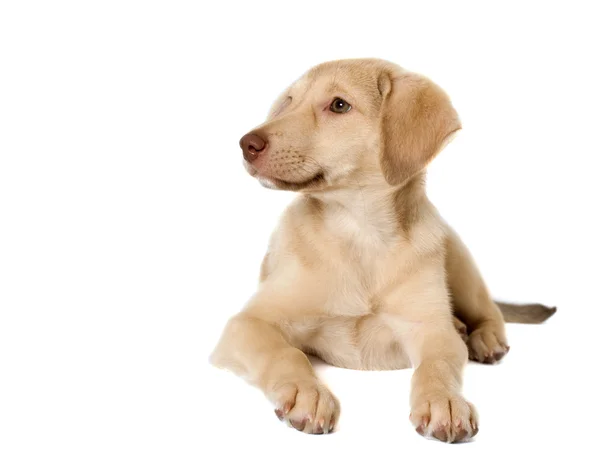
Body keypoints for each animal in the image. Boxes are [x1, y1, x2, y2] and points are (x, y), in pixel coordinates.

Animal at [209, 57, 556, 442]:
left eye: (339, 105)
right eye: (288, 102)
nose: (246, 144)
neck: (360, 232)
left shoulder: (432, 331)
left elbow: (436, 366)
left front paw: (444, 401)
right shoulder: (247, 324)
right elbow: (285, 353)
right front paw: (307, 392)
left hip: (459, 261)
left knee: (489, 310)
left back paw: (484, 338)